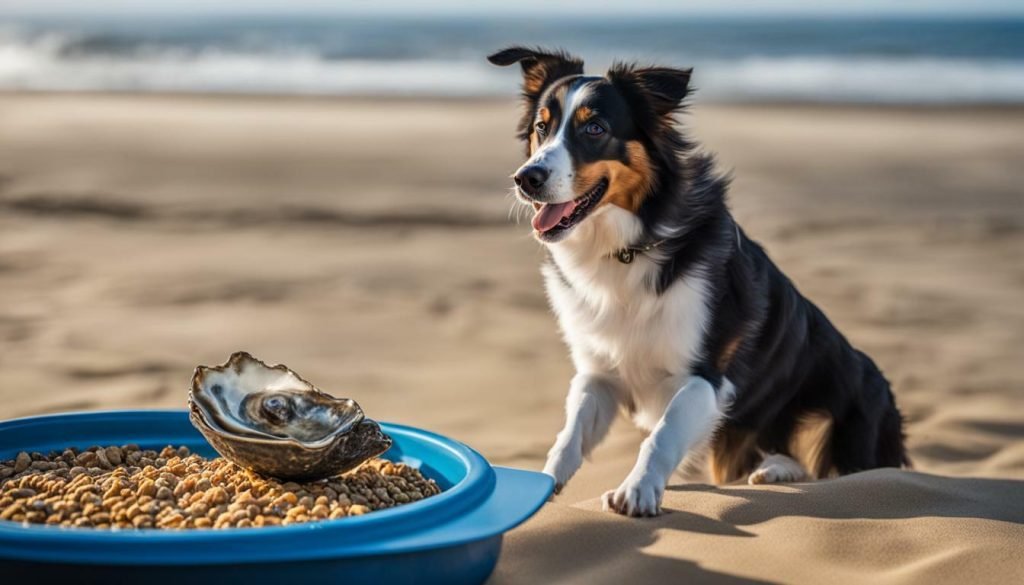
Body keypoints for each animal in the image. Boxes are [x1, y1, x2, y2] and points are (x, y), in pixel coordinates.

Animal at [487, 48, 913, 520]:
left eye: (595, 128)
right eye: (541, 128)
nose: (526, 179)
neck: (629, 246)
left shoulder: (705, 376)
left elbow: (663, 433)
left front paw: (637, 489)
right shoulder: (600, 373)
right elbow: (569, 435)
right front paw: (542, 486)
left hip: (839, 409)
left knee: (830, 469)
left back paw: (779, 472)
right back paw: (773, 471)